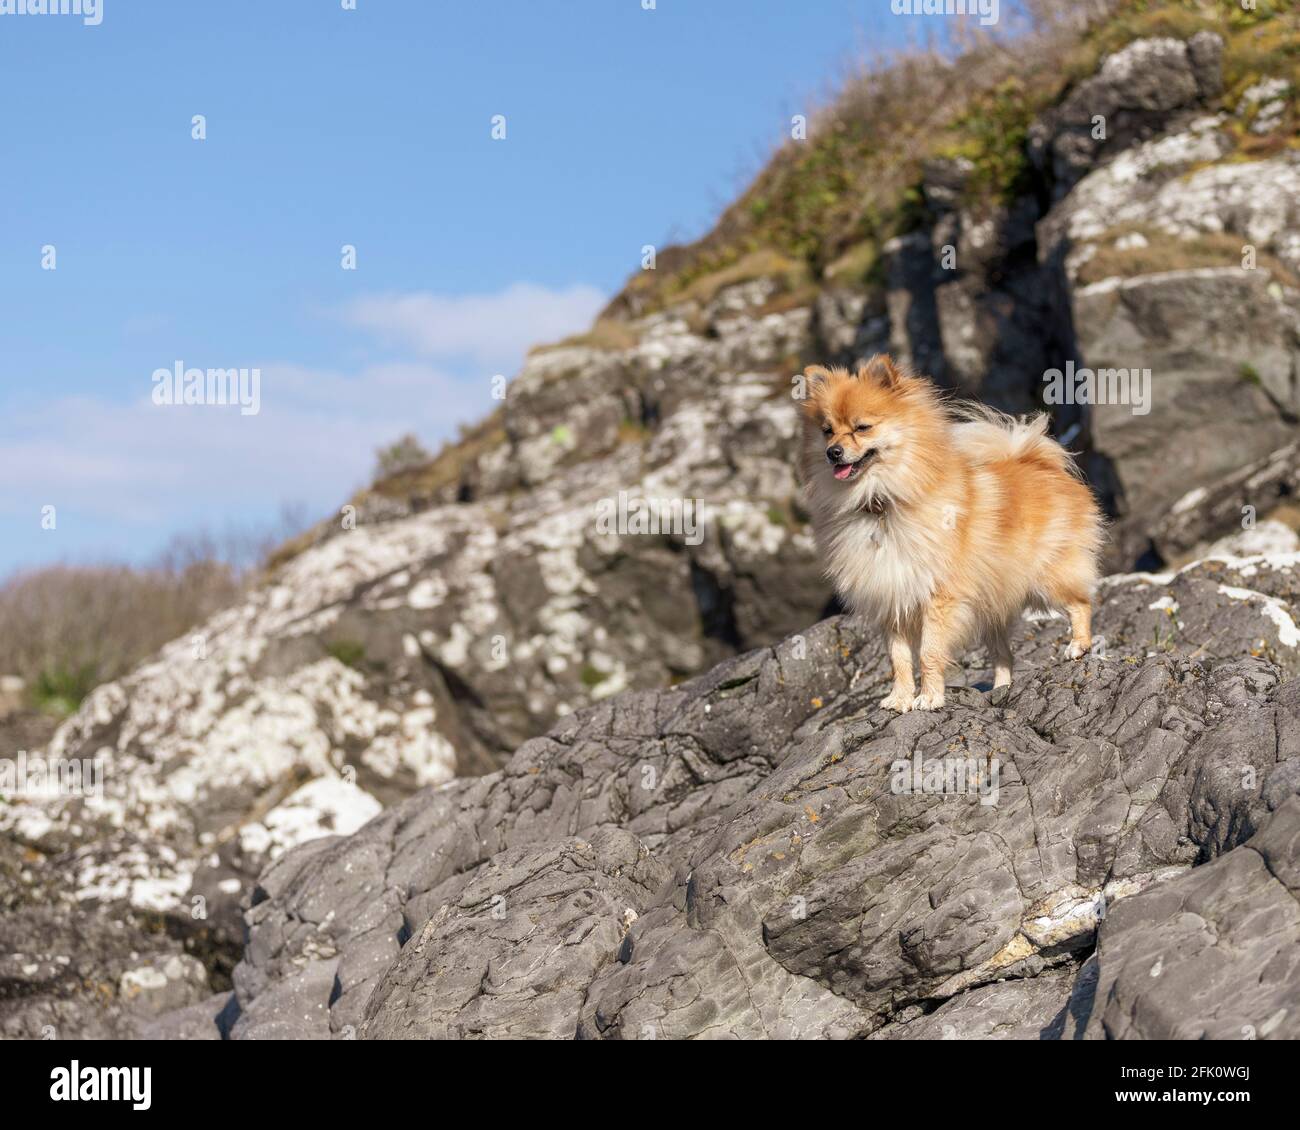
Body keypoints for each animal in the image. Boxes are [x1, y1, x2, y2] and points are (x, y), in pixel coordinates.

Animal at [795, 353, 1102, 707]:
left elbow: (928, 653)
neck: (880, 503)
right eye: (827, 431)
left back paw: (1078, 645)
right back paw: (1000, 689)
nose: (833, 452)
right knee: (1003, 655)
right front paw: (899, 699)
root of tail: (1042, 463)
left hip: (1046, 579)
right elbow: (898, 659)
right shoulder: (891, 600)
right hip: (990, 607)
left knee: (1081, 603)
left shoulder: (938, 598)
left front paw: (928, 698)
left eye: (862, 427)